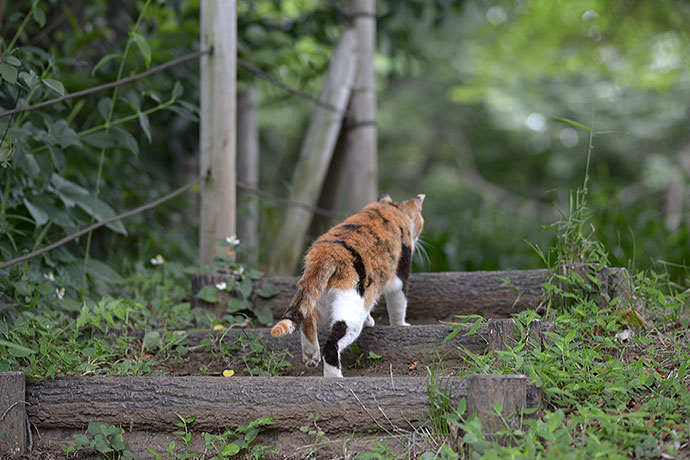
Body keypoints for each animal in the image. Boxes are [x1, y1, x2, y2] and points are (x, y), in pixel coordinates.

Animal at [270, 192, 422, 376]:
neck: (391, 208)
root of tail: (325, 252)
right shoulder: (400, 272)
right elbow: (398, 304)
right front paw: (401, 325)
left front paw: (370, 320)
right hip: (350, 306)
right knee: (332, 342)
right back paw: (334, 376)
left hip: (319, 294)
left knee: (307, 315)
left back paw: (311, 355)